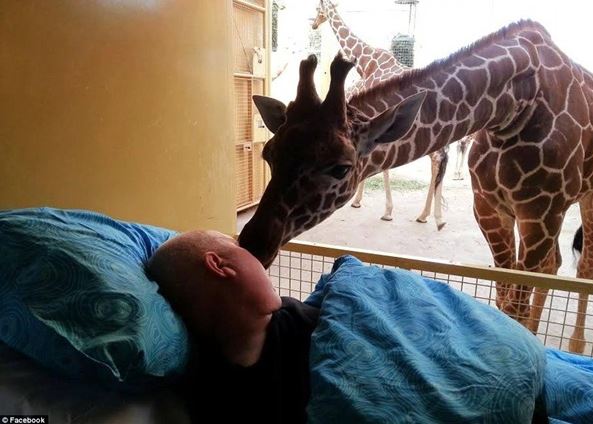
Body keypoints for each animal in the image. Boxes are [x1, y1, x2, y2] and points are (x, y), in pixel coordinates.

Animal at [312, 0, 446, 229]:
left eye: (317, 9)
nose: (313, 24)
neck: (367, 62)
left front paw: (386, 211)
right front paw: (361, 201)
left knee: (438, 158)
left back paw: (431, 215)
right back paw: (430, 215)